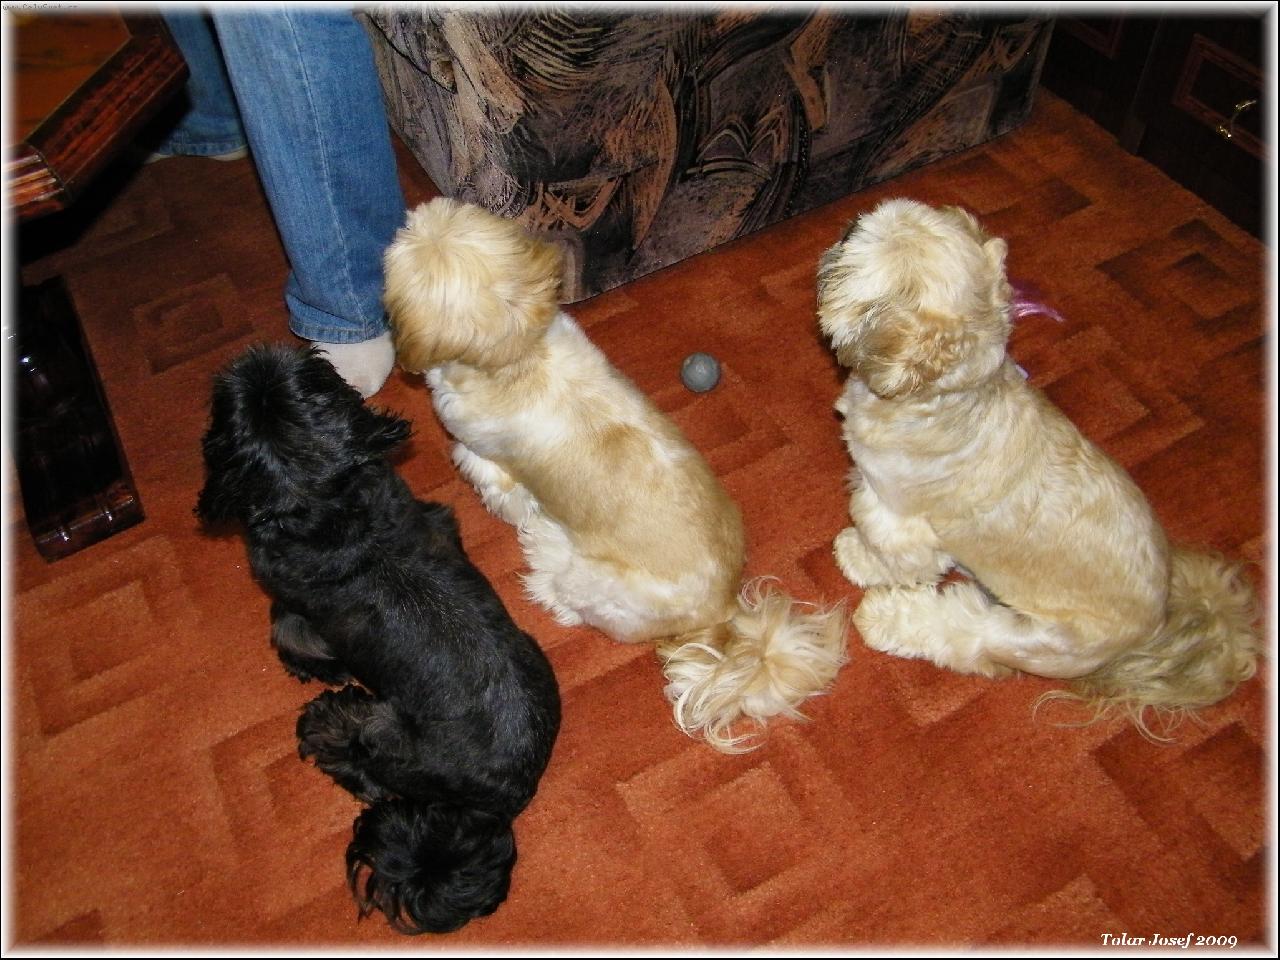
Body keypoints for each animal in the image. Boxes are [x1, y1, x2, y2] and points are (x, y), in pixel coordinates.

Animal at [196, 344, 560, 933]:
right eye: (315, 385)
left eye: (230, 411)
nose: (263, 360)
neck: (331, 507)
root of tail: (501, 799)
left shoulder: (293, 606)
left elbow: (290, 633)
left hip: (381, 727)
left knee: (364, 769)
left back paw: (325, 724)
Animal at [382, 197, 847, 752]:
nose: (404, 214)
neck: (521, 352)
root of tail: (722, 612)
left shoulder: (485, 459)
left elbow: (500, 489)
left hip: (596, 584)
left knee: (575, 605)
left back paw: (547, 576)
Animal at [816, 198, 1259, 736]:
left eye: (858, 256)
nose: (848, 226)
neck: (946, 403)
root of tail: (1155, 626)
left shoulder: (898, 520)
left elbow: (893, 555)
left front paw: (861, 557)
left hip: (1034, 636)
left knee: (970, 635)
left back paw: (887, 619)